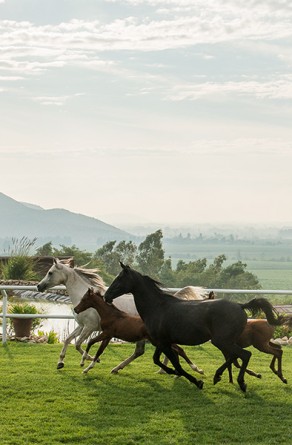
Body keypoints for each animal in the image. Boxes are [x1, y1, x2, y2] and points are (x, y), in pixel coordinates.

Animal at [74, 288, 204, 374]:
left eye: (84, 299)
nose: (75, 309)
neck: (111, 315)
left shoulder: (107, 333)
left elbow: (91, 342)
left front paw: (83, 363)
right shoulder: (108, 336)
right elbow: (99, 350)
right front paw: (88, 367)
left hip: (157, 341)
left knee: (179, 350)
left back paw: (196, 370)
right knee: (177, 350)